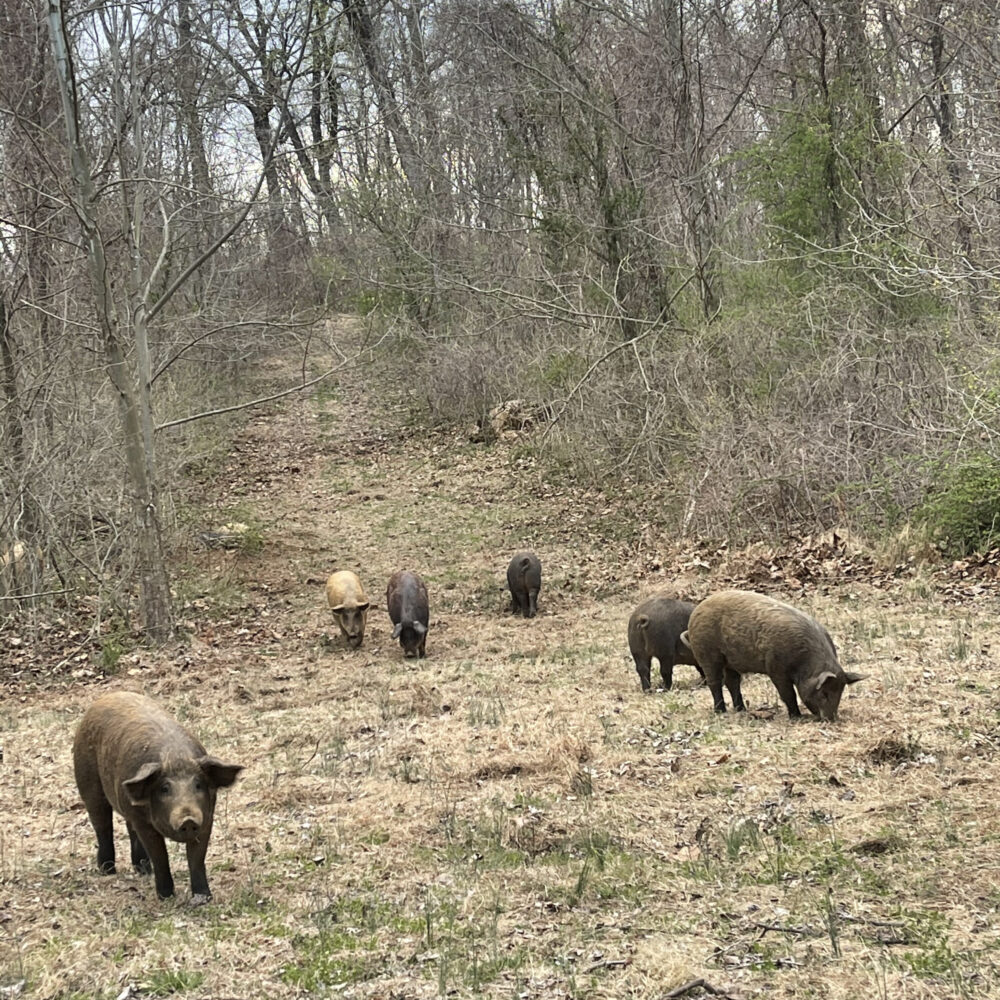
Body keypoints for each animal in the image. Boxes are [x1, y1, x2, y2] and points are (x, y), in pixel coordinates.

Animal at [74, 692, 244, 904]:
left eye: (198, 785)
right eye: (164, 788)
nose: (187, 818)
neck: (175, 758)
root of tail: (107, 696)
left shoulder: (206, 818)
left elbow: (197, 859)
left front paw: (203, 898)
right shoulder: (145, 824)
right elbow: (160, 856)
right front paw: (166, 897)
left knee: (129, 828)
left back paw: (143, 870)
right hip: (87, 782)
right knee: (102, 825)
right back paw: (107, 870)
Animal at [680, 584, 868, 720]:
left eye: (840, 692)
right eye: (824, 692)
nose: (831, 719)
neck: (805, 662)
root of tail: (696, 612)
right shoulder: (776, 668)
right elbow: (788, 693)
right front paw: (797, 717)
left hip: (730, 661)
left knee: (732, 682)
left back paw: (741, 710)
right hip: (707, 653)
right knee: (715, 682)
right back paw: (721, 711)